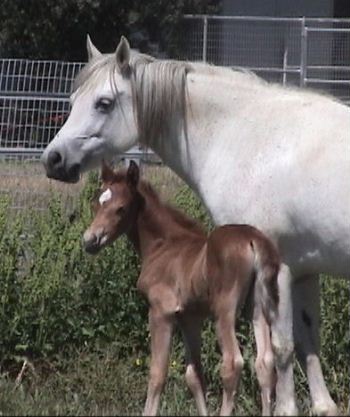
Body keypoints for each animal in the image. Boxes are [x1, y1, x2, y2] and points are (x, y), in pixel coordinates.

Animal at [83, 161, 280, 414]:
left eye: (121, 208)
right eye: (98, 202)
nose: (90, 241)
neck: (162, 246)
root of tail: (252, 241)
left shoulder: (161, 312)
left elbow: (157, 373)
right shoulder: (190, 318)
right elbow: (194, 376)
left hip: (224, 309)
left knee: (232, 363)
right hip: (257, 307)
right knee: (264, 363)